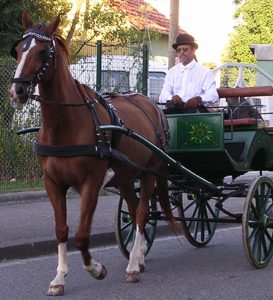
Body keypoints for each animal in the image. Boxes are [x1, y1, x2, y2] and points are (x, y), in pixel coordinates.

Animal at [8, 10, 180, 296]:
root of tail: (152, 105)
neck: (67, 123)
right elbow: (62, 230)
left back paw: (132, 266)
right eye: (19, 49)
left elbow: (81, 235)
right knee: (134, 210)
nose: (17, 90)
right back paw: (139, 257)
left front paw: (96, 269)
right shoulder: (53, 183)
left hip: (149, 173)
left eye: (43, 52)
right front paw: (59, 278)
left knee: (142, 212)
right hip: (124, 177)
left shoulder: (91, 182)